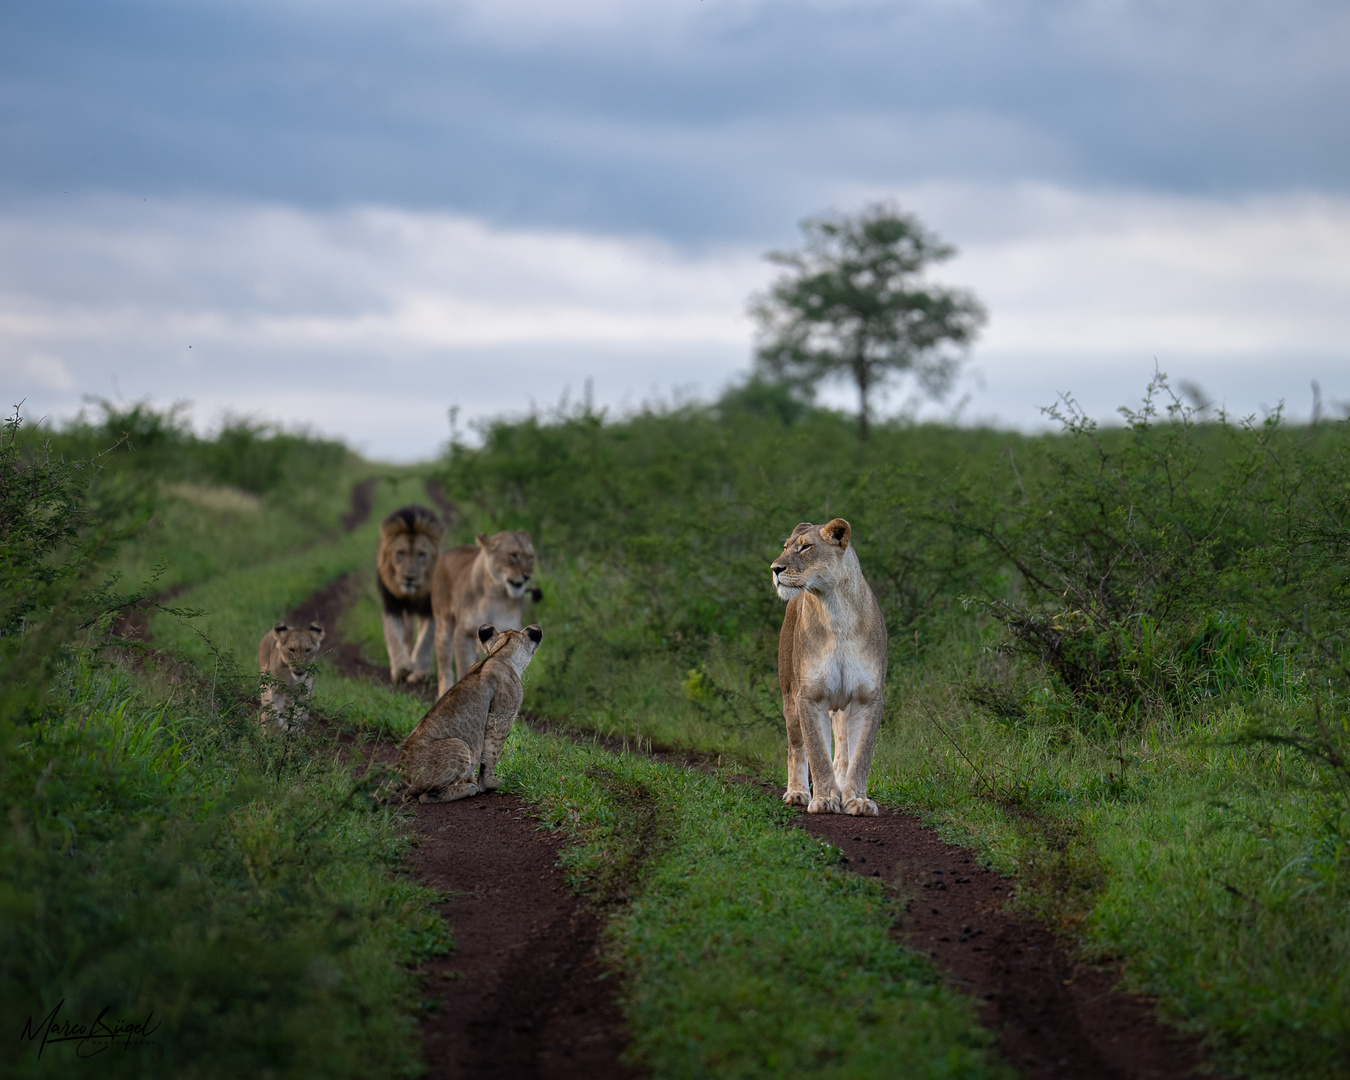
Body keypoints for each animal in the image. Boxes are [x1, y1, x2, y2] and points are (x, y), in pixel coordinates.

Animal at [772, 518, 885, 815]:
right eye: (786, 547)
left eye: (805, 547)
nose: (775, 569)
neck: (836, 612)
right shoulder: (810, 695)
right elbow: (817, 751)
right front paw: (823, 799)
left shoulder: (868, 697)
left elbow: (860, 755)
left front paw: (857, 800)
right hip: (789, 696)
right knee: (796, 747)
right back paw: (797, 793)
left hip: (843, 706)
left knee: (843, 750)